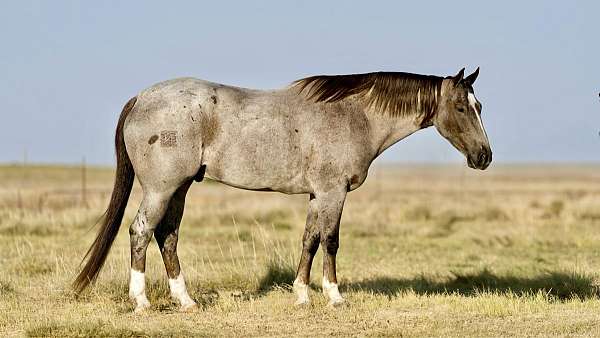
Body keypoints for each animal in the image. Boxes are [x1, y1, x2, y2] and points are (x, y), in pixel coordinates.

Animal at [72, 66, 490, 312]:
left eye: (479, 105)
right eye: (461, 107)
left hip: (180, 189)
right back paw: (141, 301)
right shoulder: (333, 192)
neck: (353, 115)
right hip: (161, 189)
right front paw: (334, 296)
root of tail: (141, 97)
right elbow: (331, 241)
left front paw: (302, 294)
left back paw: (186, 301)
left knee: (167, 236)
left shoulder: (317, 195)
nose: (484, 156)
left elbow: (309, 240)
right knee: (141, 232)